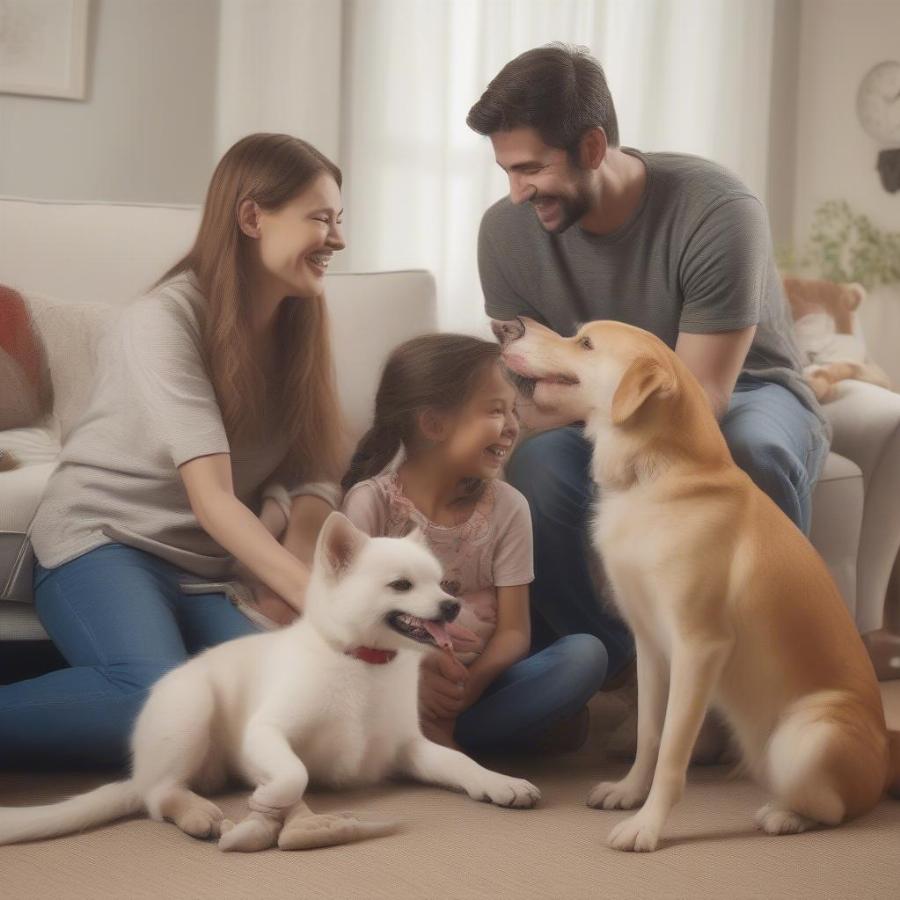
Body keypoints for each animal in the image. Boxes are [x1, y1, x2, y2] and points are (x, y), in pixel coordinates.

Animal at [0, 512, 536, 852]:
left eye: (443, 583)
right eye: (401, 585)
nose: (452, 606)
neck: (363, 664)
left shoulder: (409, 748)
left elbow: (461, 761)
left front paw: (500, 782)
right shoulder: (265, 733)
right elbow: (294, 772)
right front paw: (270, 799)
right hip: (192, 708)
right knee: (158, 796)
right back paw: (199, 813)